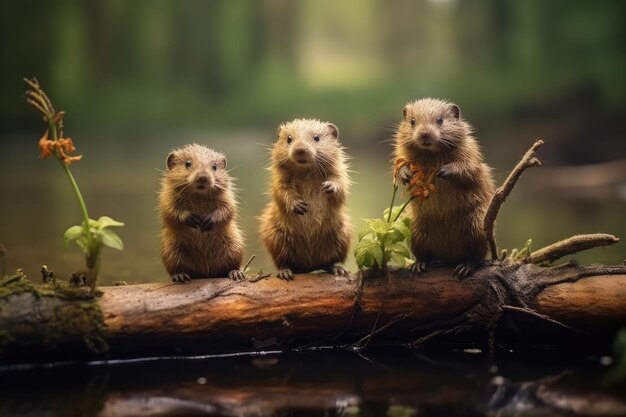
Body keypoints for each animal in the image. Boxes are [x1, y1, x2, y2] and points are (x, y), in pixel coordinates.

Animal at [156, 143, 244, 282]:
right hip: (171, 250)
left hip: (234, 245)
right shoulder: (167, 198)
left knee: (229, 267)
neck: (198, 196)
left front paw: (206, 221)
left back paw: (236, 273)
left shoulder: (227, 198)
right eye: (187, 163)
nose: (203, 177)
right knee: (178, 268)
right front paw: (194, 219)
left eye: (214, 167)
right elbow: (170, 212)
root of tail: (205, 273)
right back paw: (181, 276)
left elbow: (228, 210)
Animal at [258, 118, 354, 280]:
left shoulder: (340, 173)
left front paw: (329, 186)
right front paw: (300, 206)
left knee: (332, 261)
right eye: (289, 139)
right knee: (283, 261)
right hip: (275, 237)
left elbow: (341, 187)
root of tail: (309, 266)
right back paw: (285, 273)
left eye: (316, 137)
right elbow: (281, 193)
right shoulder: (280, 180)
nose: (300, 149)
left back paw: (339, 269)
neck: (306, 173)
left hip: (342, 234)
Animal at [392, 98, 494, 278]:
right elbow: (399, 162)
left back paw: (464, 268)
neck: (432, 156)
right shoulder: (401, 152)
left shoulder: (471, 154)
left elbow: (468, 168)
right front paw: (406, 174)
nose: (425, 134)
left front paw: (444, 170)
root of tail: (449, 257)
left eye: (440, 120)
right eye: (412, 121)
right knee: (424, 255)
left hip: (476, 227)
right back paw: (419, 266)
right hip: (417, 231)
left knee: (476, 256)